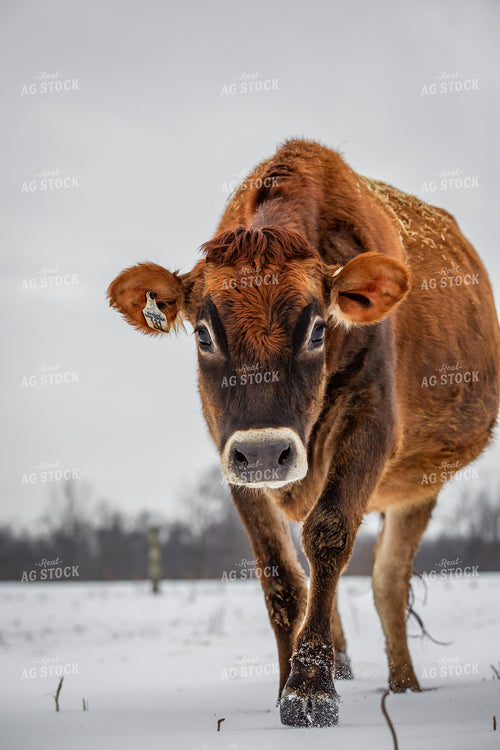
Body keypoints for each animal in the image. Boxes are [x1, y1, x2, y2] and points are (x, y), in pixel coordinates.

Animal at [108, 139, 500, 727]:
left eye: (318, 329)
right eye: (202, 333)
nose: (267, 452)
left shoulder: (370, 424)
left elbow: (328, 537)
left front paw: (310, 691)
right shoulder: (232, 454)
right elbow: (281, 574)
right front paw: (283, 688)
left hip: (421, 484)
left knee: (388, 580)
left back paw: (404, 688)